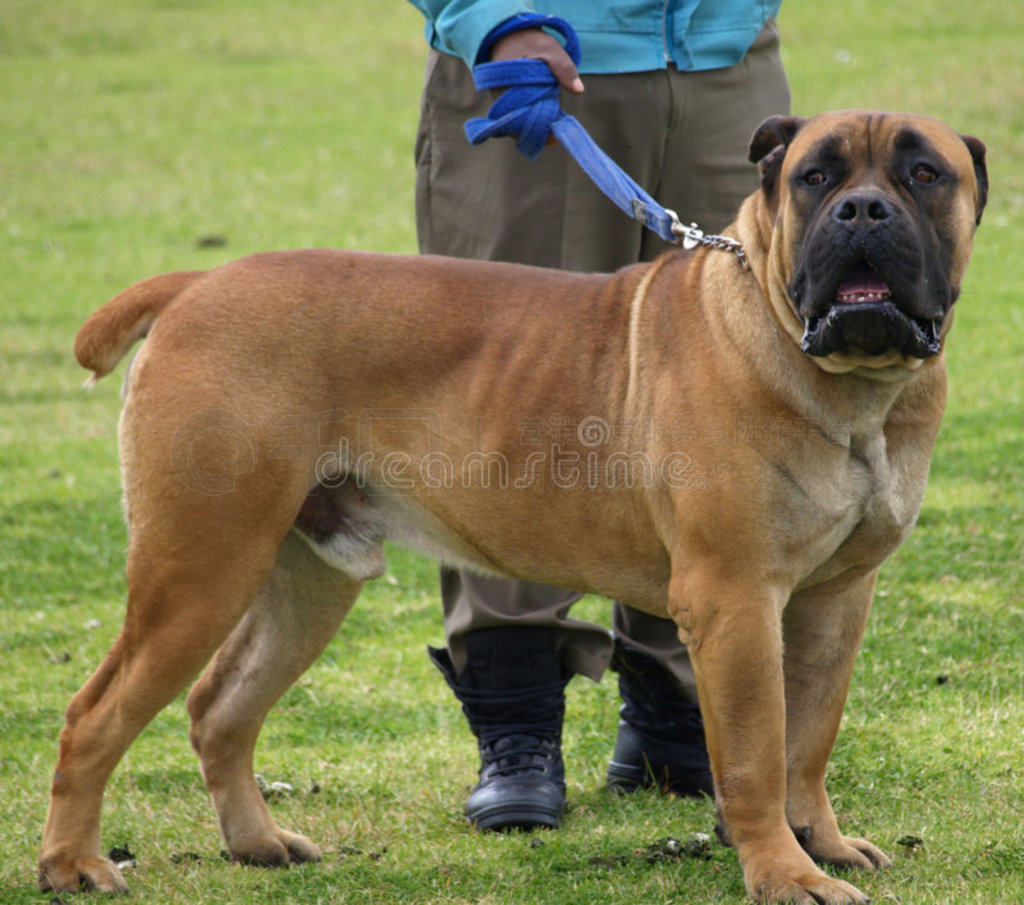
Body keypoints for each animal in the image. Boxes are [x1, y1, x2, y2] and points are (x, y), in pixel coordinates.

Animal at [37, 113, 983, 905]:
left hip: (306, 578)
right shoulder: (736, 599)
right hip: (199, 568)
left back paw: (258, 843)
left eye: (925, 173)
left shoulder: (834, 600)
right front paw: (786, 873)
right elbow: (757, 753)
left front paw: (821, 843)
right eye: (816, 177)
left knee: (220, 706)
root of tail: (197, 283)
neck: (853, 388)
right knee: (94, 715)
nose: (863, 209)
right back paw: (74, 863)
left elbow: (809, 737)